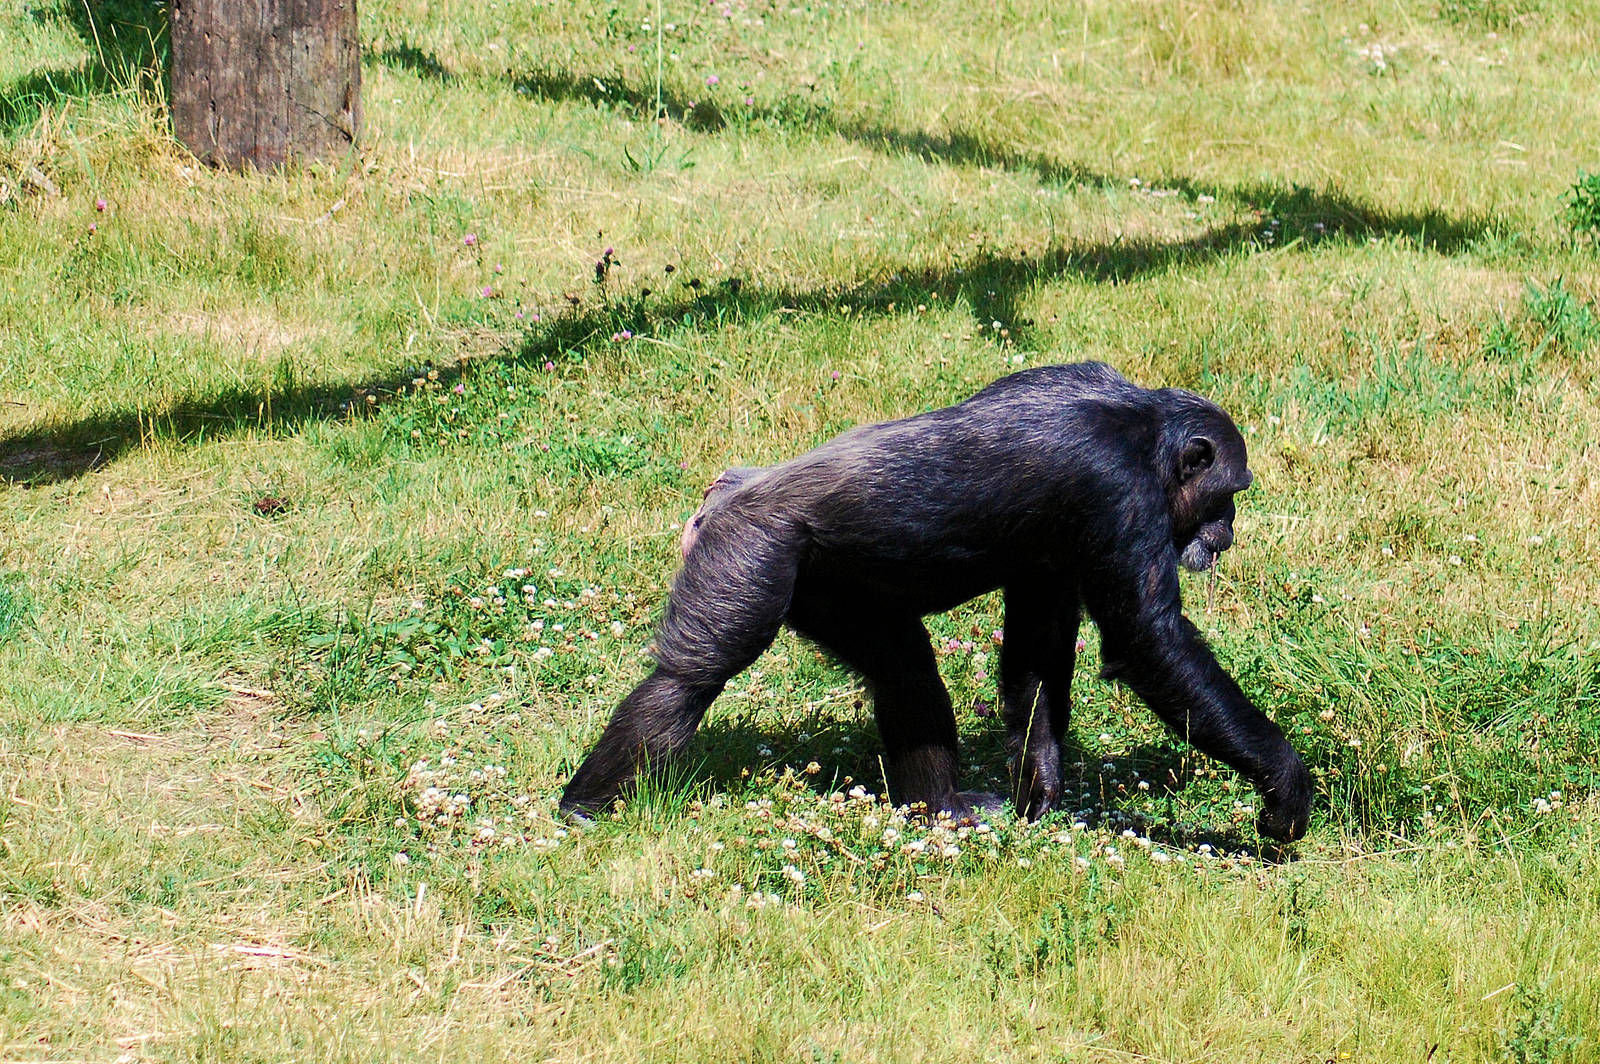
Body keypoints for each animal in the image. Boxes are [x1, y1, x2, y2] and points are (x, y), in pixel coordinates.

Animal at [562, 361, 1313, 842]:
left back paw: (941, 807)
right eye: (1231, 492)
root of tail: (723, 491)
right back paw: (584, 805)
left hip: (828, 585)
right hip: (749, 552)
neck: (1141, 427)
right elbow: (1148, 642)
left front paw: (1040, 792)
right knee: (690, 678)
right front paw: (1285, 786)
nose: (1228, 530)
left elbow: (1037, 647)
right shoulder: (1118, 495)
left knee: (904, 672)